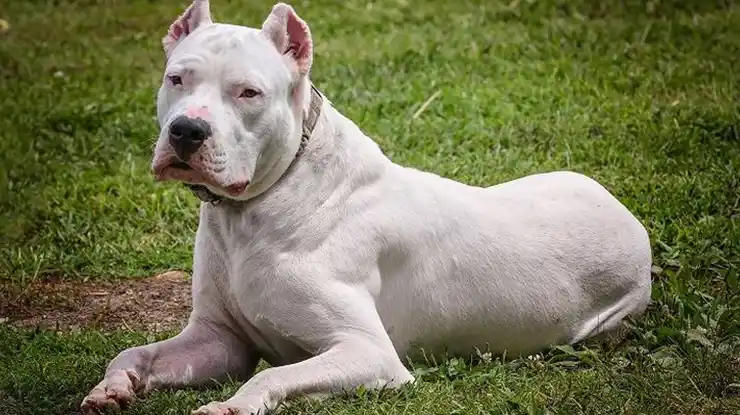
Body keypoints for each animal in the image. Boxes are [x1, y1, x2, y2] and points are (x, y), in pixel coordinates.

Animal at [81, 1, 652, 414]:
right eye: (177, 78)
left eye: (248, 93)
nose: (186, 131)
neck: (257, 206)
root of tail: (627, 216)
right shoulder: (218, 340)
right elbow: (135, 351)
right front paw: (113, 387)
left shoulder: (369, 353)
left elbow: (275, 373)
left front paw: (231, 407)